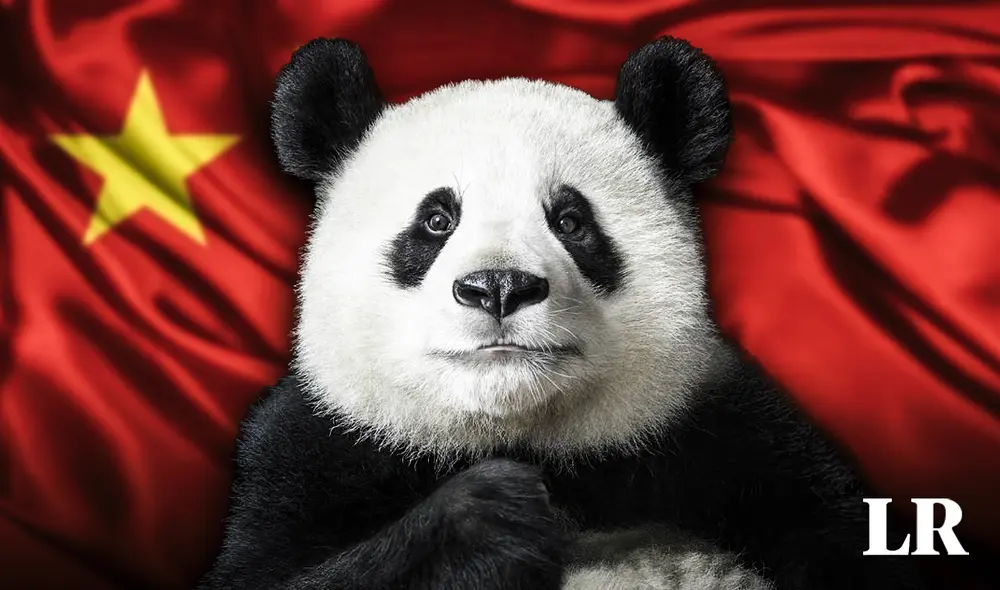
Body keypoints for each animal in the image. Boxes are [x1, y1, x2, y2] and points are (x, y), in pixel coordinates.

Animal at [198, 36, 928, 590]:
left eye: (572, 221)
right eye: (435, 221)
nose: (498, 286)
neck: (526, 434)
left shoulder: (738, 439)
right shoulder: (312, 451)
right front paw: (493, 515)